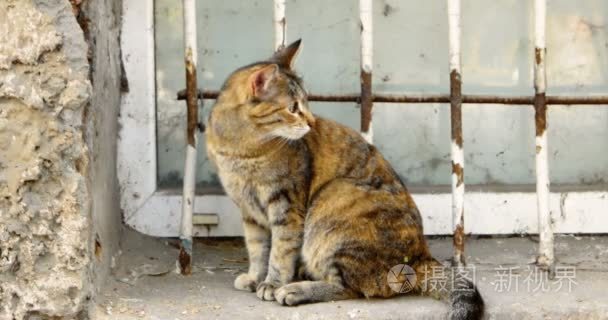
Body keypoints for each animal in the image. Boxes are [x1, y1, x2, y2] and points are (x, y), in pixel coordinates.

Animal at [207, 40, 482, 320]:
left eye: (306, 103)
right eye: (293, 108)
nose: (311, 122)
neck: (239, 150)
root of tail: (420, 256)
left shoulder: (286, 207)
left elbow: (280, 252)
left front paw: (273, 283)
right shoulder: (250, 212)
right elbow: (257, 250)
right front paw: (254, 277)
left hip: (333, 200)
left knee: (349, 288)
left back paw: (296, 290)